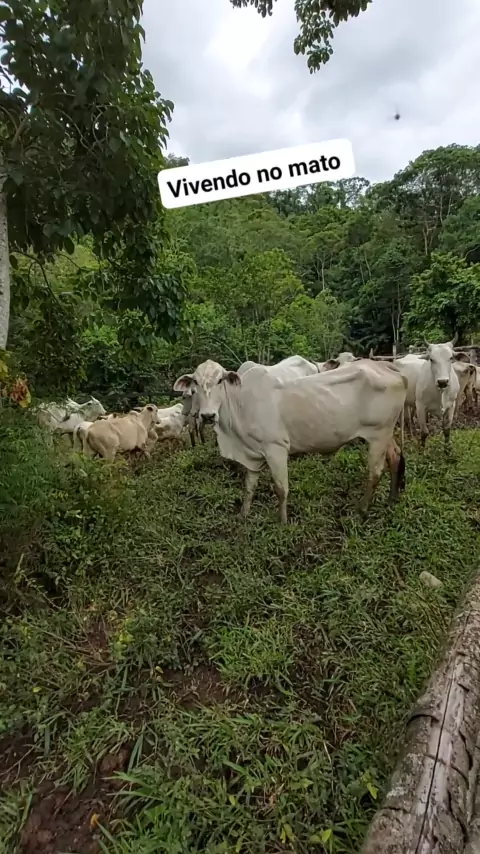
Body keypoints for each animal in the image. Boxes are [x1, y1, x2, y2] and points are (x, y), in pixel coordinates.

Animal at [173, 359, 407, 523]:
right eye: (195, 383)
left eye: (220, 380)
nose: (207, 416)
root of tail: (387, 366)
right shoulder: (253, 454)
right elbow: (249, 487)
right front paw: (243, 515)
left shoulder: (275, 449)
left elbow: (281, 489)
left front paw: (283, 522)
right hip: (385, 434)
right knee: (395, 457)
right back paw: (392, 499)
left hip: (378, 434)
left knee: (375, 472)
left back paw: (362, 509)